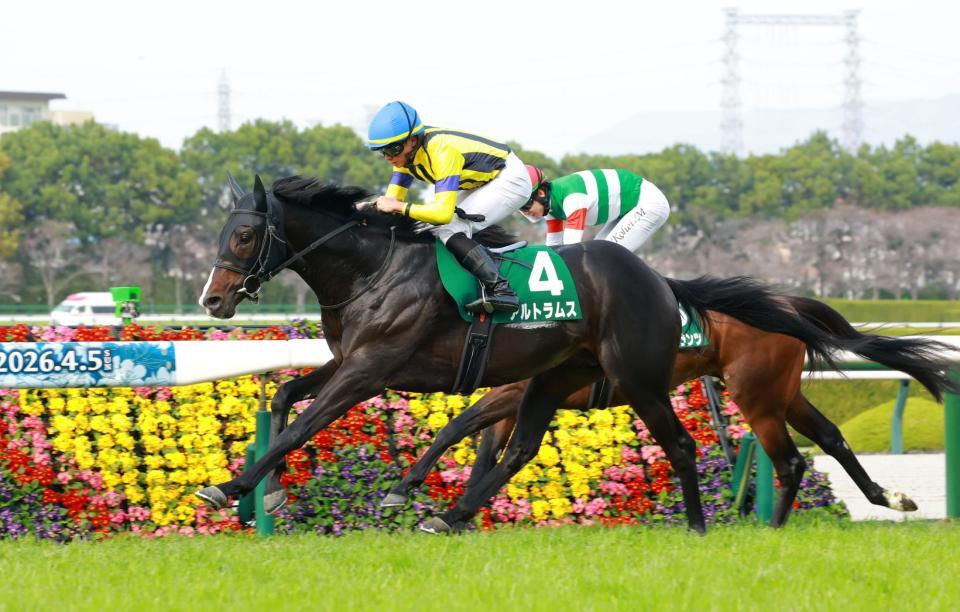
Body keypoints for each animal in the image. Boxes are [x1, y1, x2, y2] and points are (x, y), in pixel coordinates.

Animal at [195, 174, 709, 532]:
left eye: (244, 236)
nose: (212, 300)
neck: (372, 270)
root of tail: (659, 279)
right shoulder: (346, 360)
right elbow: (285, 398)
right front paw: (272, 491)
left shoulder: (368, 370)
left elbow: (301, 427)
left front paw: (229, 487)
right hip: (558, 375)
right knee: (521, 447)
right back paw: (446, 514)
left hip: (637, 379)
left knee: (682, 445)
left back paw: (697, 528)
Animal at [382, 283, 959, 527]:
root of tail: (787, 301)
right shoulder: (517, 396)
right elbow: (484, 446)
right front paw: (459, 513)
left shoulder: (518, 390)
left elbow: (459, 425)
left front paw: (412, 494)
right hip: (784, 392)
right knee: (832, 436)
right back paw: (891, 498)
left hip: (757, 397)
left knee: (791, 460)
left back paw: (770, 530)